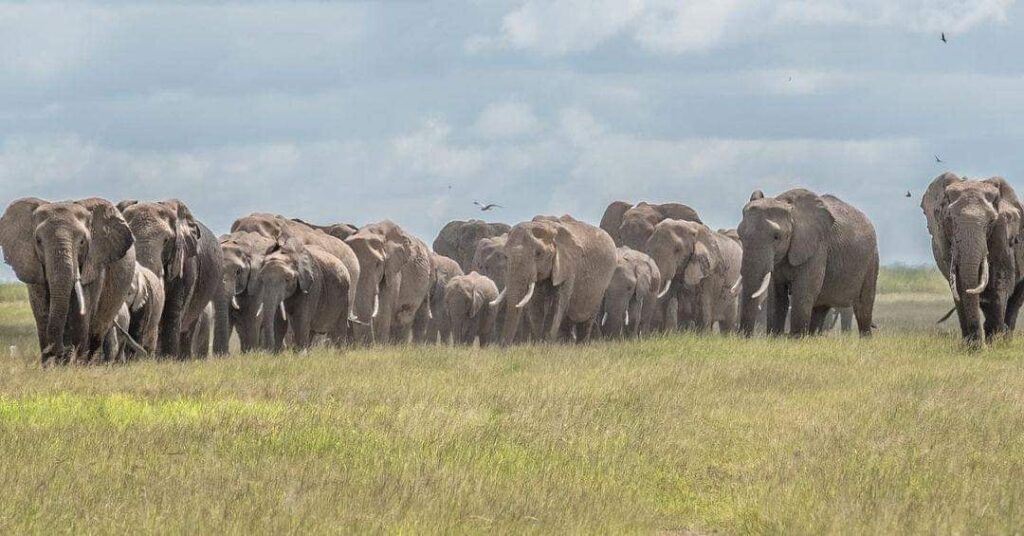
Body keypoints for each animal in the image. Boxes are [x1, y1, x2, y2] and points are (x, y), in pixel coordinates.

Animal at [0, 197, 135, 364]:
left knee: (98, 330)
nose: (63, 350)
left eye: (82, 242)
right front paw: (51, 365)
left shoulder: (95, 261)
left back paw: (89, 362)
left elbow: (81, 313)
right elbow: (42, 312)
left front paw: (76, 365)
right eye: (38, 240)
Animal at [492, 215, 617, 345]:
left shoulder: (568, 268)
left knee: (587, 319)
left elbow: (557, 304)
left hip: (603, 282)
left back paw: (580, 344)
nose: (503, 345)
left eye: (538, 253)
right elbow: (536, 305)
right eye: (506, 256)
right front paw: (539, 343)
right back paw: (566, 344)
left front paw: (545, 344)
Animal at [738, 188, 878, 337]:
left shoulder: (817, 247)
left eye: (776, 237)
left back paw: (865, 338)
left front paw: (795, 338)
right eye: (740, 236)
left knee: (863, 306)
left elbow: (803, 291)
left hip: (871, 259)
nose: (743, 336)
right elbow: (777, 294)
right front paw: (775, 337)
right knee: (821, 307)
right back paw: (812, 336)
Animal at [921, 173, 1024, 343]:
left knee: (1014, 300)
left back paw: (1004, 339)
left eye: (991, 222)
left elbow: (1000, 283)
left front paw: (995, 344)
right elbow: (958, 286)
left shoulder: (1003, 233)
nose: (977, 345)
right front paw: (971, 346)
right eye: (949, 220)